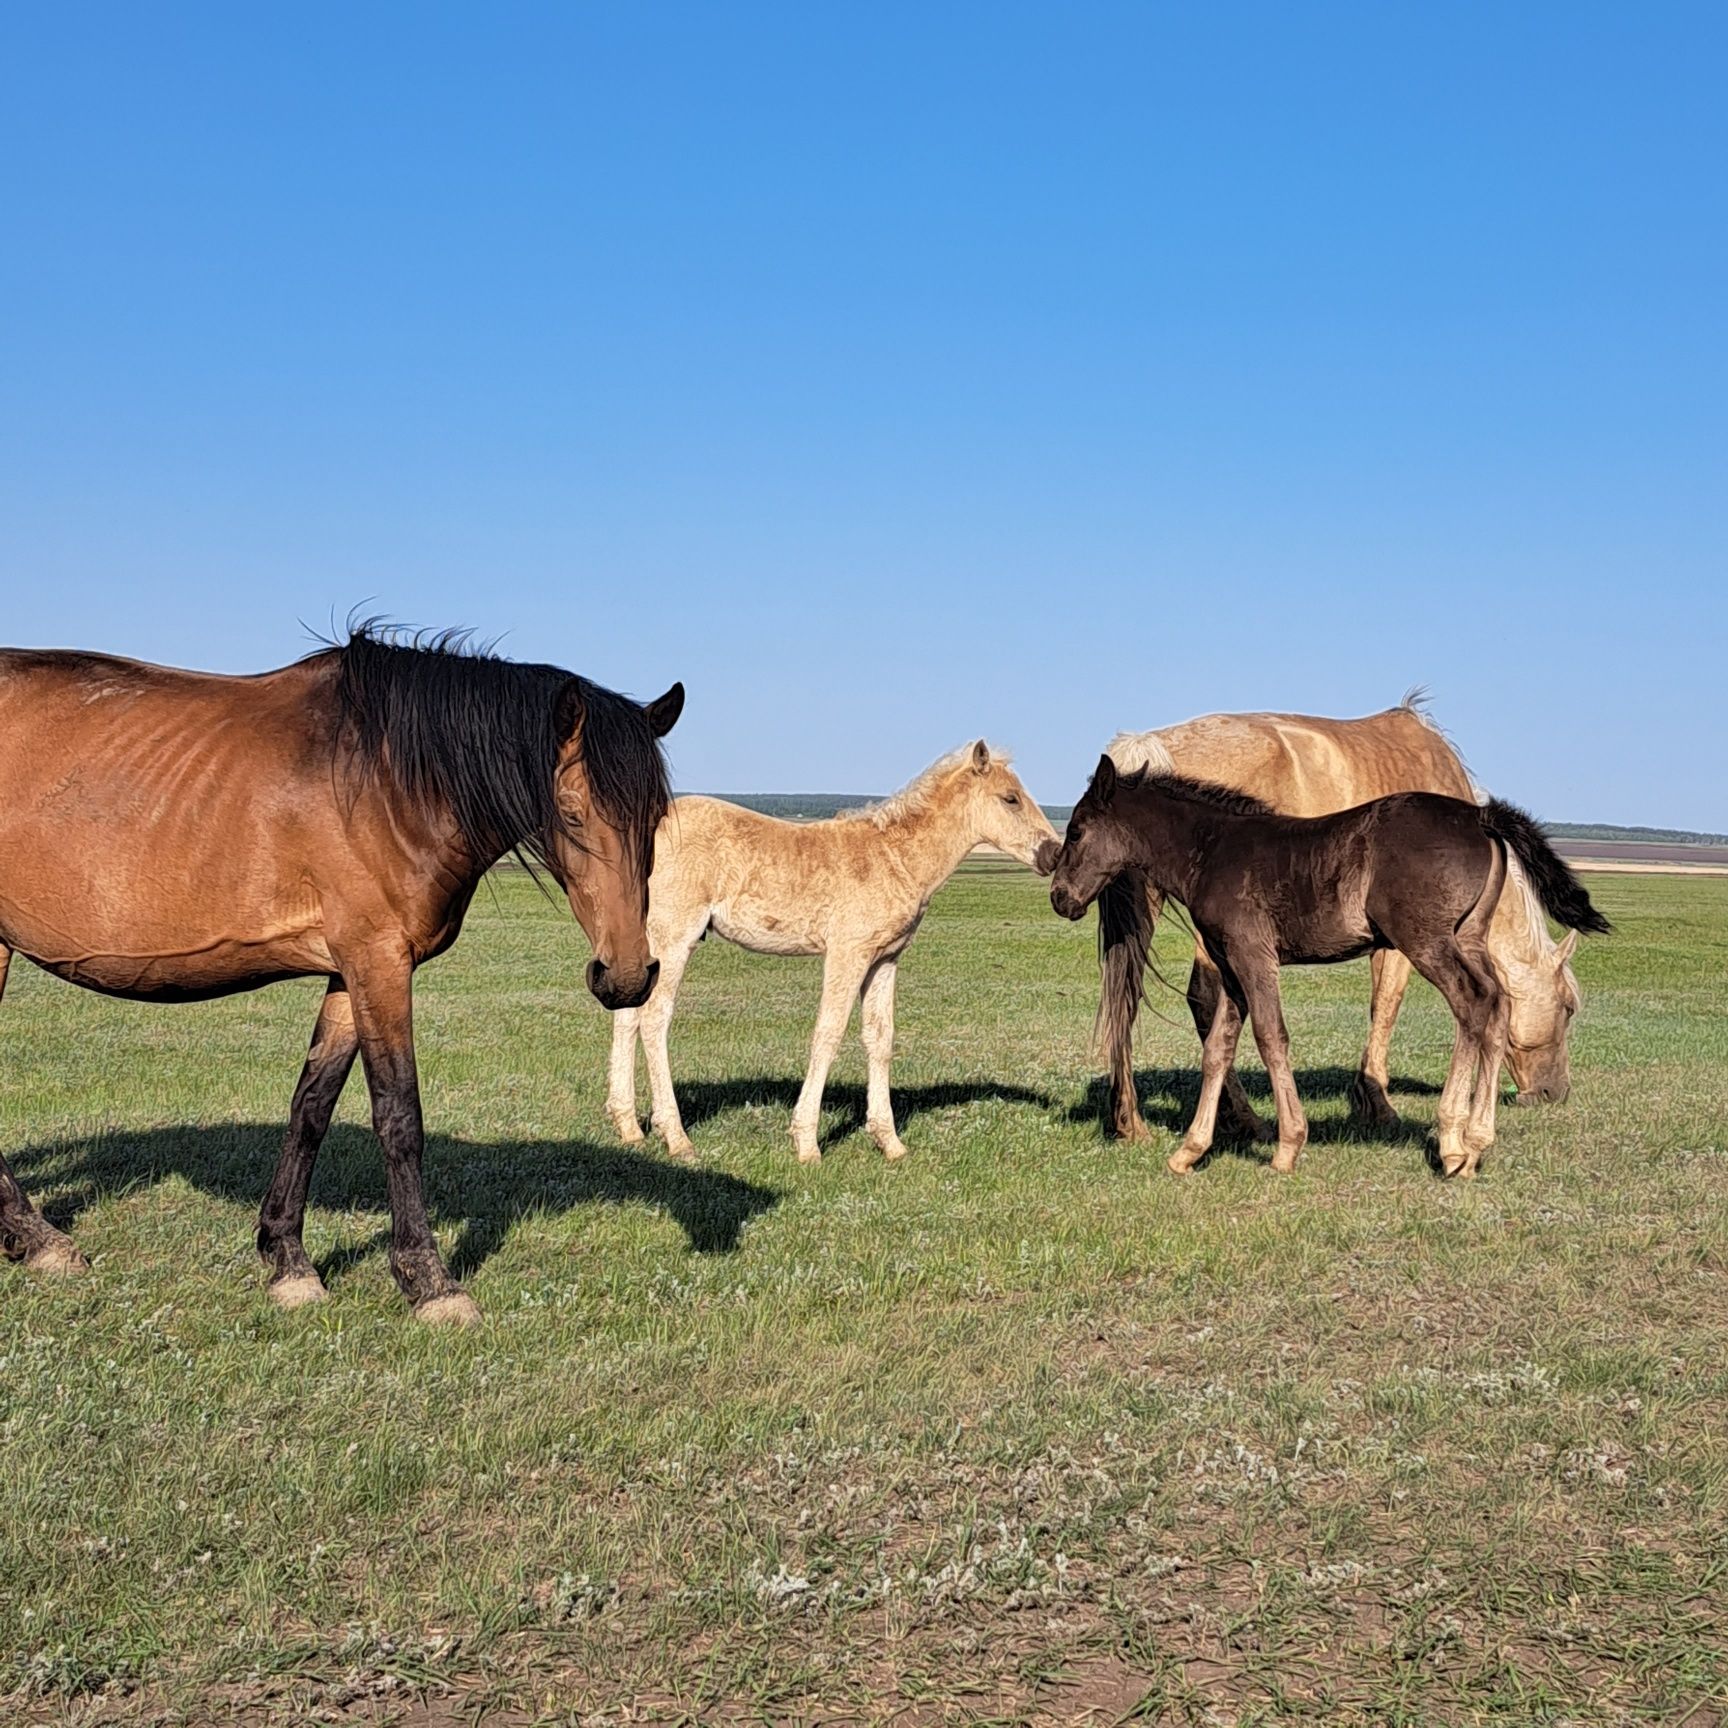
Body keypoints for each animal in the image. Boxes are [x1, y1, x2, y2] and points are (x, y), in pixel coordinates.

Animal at [0, 628, 684, 1313]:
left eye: (656, 817)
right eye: (569, 811)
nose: (627, 975)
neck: (391, 781)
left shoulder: (350, 971)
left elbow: (312, 1105)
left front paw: (286, 1257)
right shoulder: (378, 962)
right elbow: (399, 1115)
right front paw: (427, 1279)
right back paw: (41, 1240)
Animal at [608, 739, 1064, 1161]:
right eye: (1010, 798)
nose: (1054, 855)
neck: (895, 858)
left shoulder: (885, 959)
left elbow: (879, 1037)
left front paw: (889, 1141)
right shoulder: (848, 953)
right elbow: (828, 1033)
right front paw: (806, 1142)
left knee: (629, 1014)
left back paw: (629, 1127)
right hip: (675, 936)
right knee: (654, 1018)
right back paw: (676, 1137)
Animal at [1043, 763, 1610, 1181]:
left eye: (1077, 829)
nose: (1060, 898)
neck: (1211, 851)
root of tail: (1479, 816)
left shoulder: (1253, 956)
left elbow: (1271, 1037)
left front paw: (1287, 1147)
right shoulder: (1230, 966)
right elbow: (1218, 1049)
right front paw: (1190, 1150)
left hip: (1426, 941)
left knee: (1473, 1005)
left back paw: (1455, 1143)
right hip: (1467, 938)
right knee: (1497, 1005)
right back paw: (1474, 1143)